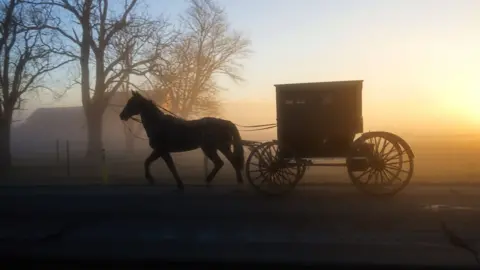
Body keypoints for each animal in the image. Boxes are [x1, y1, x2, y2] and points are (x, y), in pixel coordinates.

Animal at [118, 91, 246, 192]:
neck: (159, 124)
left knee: (226, 162)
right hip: (217, 148)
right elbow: (167, 165)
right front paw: (179, 184)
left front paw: (151, 179)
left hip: (214, 148)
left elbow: (151, 162)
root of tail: (226, 122)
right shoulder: (162, 152)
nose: (121, 115)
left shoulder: (160, 150)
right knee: (227, 162)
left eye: (131, 102)